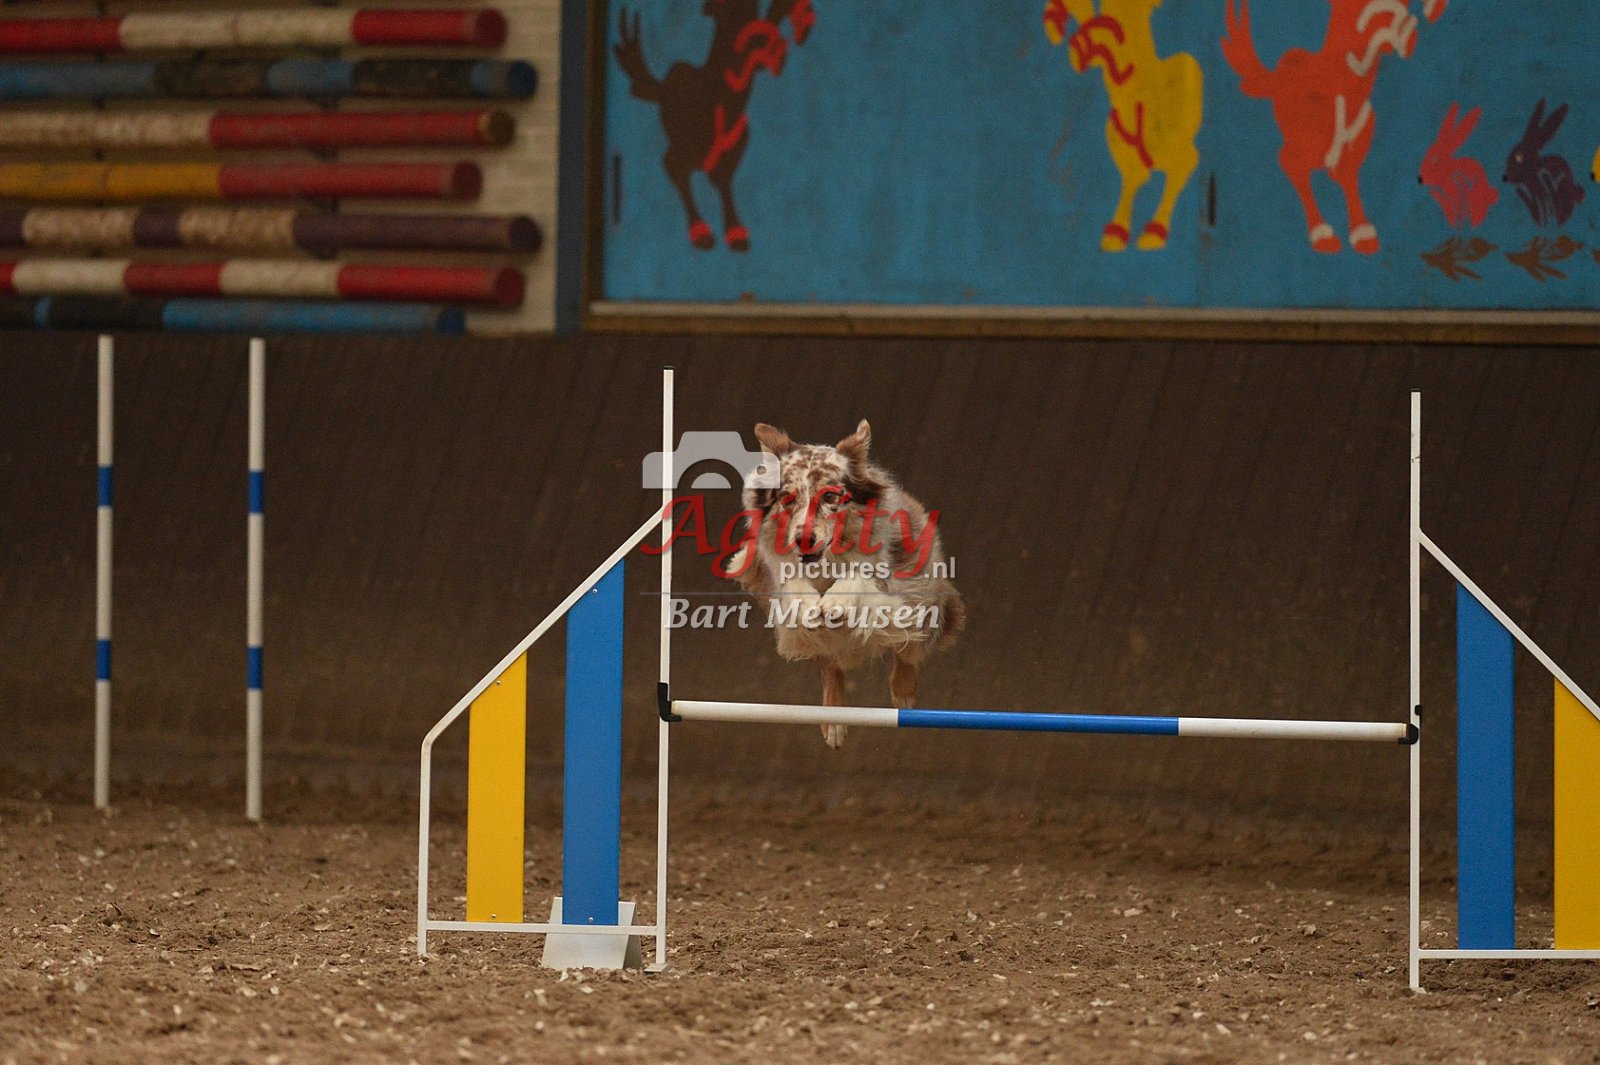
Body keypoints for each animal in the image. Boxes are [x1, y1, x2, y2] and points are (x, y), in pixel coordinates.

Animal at [725, 420, 964, 749]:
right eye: (787, 497)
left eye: (829, 496)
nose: (803, 539)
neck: (827, 561)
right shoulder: (780, 580)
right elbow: (793, 584)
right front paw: (809, 604)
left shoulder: (890, 584)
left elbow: (858, 575)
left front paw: (836, 600)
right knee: (830, 663)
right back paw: (834, 719)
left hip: (927, 597)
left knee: (908, 647)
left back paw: (903, 691)